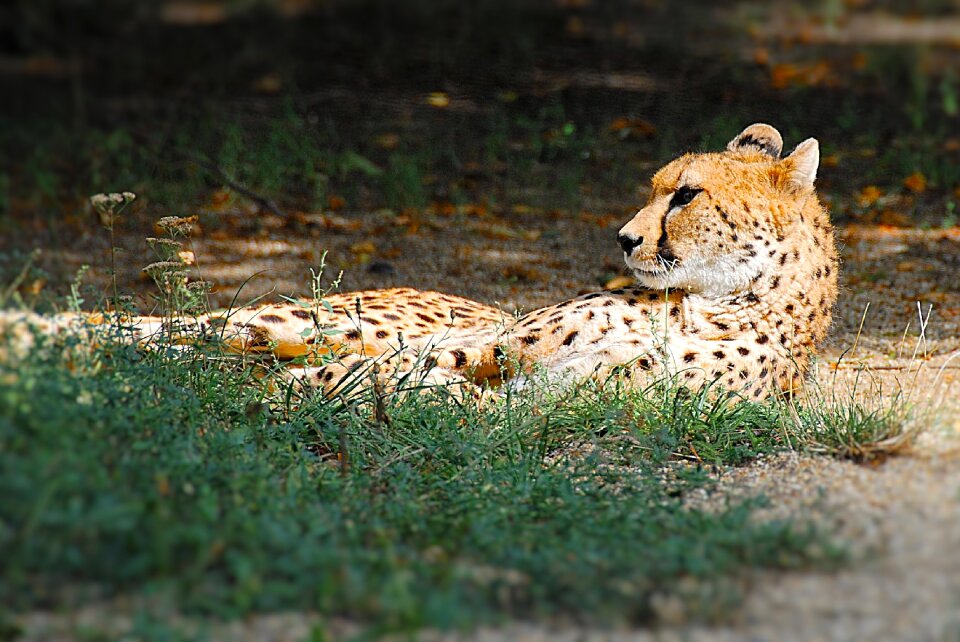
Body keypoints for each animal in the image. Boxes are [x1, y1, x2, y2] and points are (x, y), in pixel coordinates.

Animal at [0, 122, 836, 398]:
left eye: (686, 195)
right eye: (659, 188)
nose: (626, 239)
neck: (724, 299)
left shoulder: (562, 392)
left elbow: (451, 391)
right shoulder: (493, 344)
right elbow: (413, 367)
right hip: (307, 317)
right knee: (159, 329)